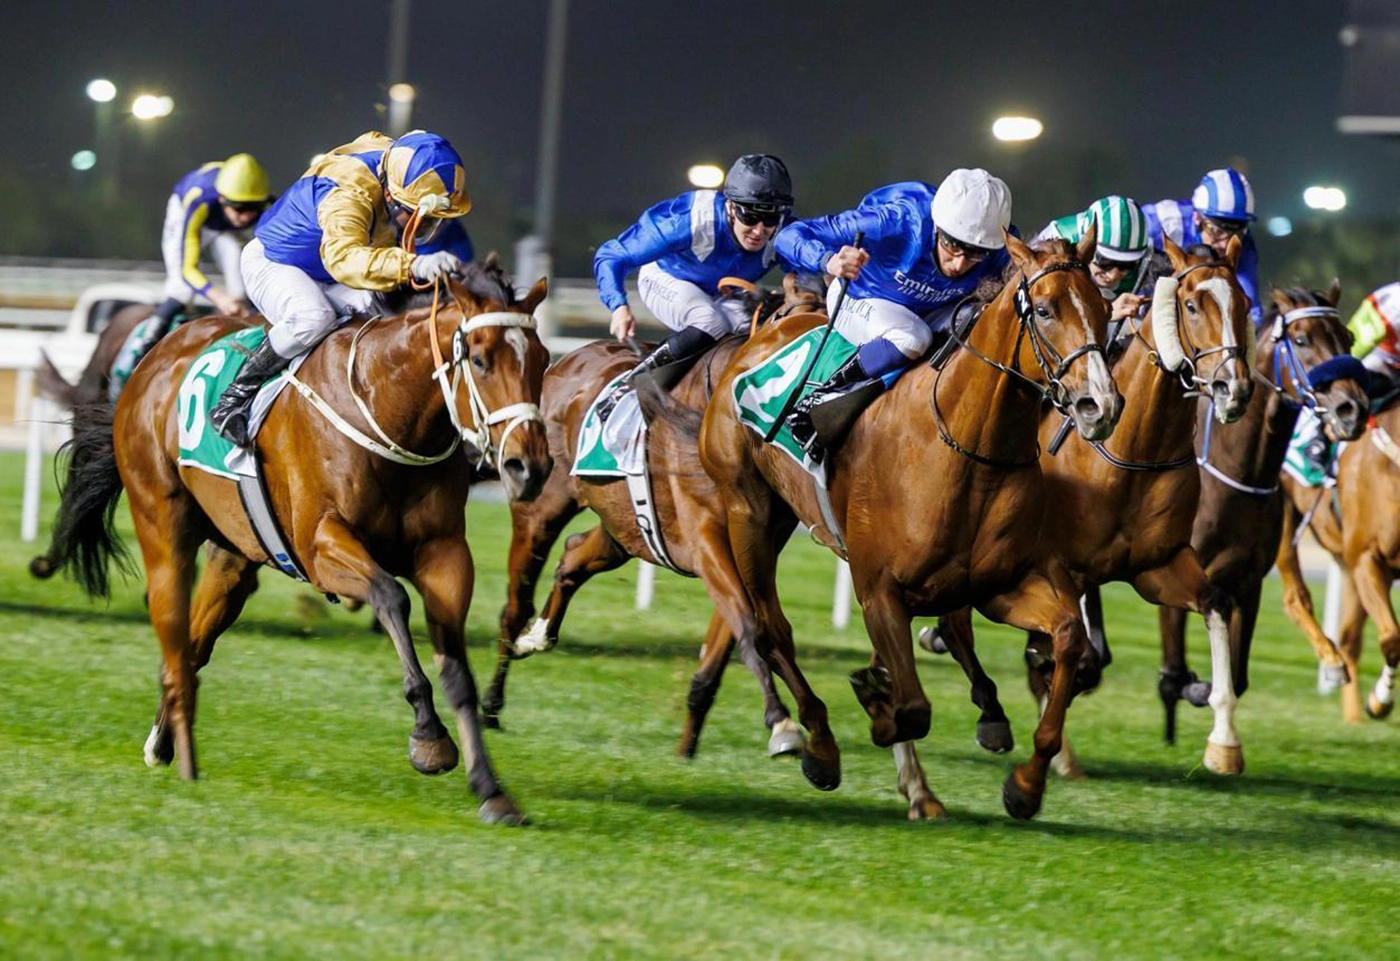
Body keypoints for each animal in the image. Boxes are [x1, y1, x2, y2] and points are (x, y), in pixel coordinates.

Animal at [39, 263, 551, 829]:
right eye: (479, 359)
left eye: (543, 359)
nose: (529, 467)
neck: (385, 404)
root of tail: (154, 360)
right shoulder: (320, 544)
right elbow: (391, 596)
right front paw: (428, 737)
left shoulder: (444, 555)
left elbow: (457, 671)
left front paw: (491, 789)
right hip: (162, 523)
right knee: (173, 631)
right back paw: (187, 760)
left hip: (234, 557)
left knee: (194, 644)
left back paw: (162, 742)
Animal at [487, 277, 823, 762]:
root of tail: (558, 365)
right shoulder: (708, 540)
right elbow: (752, 624)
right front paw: (782, 723)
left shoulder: (752, 547)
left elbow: (737, 639)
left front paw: (689, 749)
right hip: (540, 510)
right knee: (515, 605)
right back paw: (491, 703)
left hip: (624, 529)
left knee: (572, 559)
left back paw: (539, 636)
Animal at [694, 231, 1120, 818]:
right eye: (1046, 310)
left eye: (1103, 309)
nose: (1100, 405)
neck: (969, 449)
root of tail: (767, 330)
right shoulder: (880, 590)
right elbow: (912, 708)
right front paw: (875, 707)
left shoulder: (998, 585)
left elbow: (1068, 638)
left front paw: (1026, 784)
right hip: (747, 512)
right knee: (771, 626)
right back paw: (817, 743)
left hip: (783, 518)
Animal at [929, 236, 1271, 778]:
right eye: (1192, 304)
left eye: (1241, 304)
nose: (1232, 388)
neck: (1133, 453)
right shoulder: (1059, 566)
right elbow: (1070, 657)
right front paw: (1054, 747)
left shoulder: (1159, 565)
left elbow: (1216, 606)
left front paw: (1224, 742)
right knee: (954, 622)